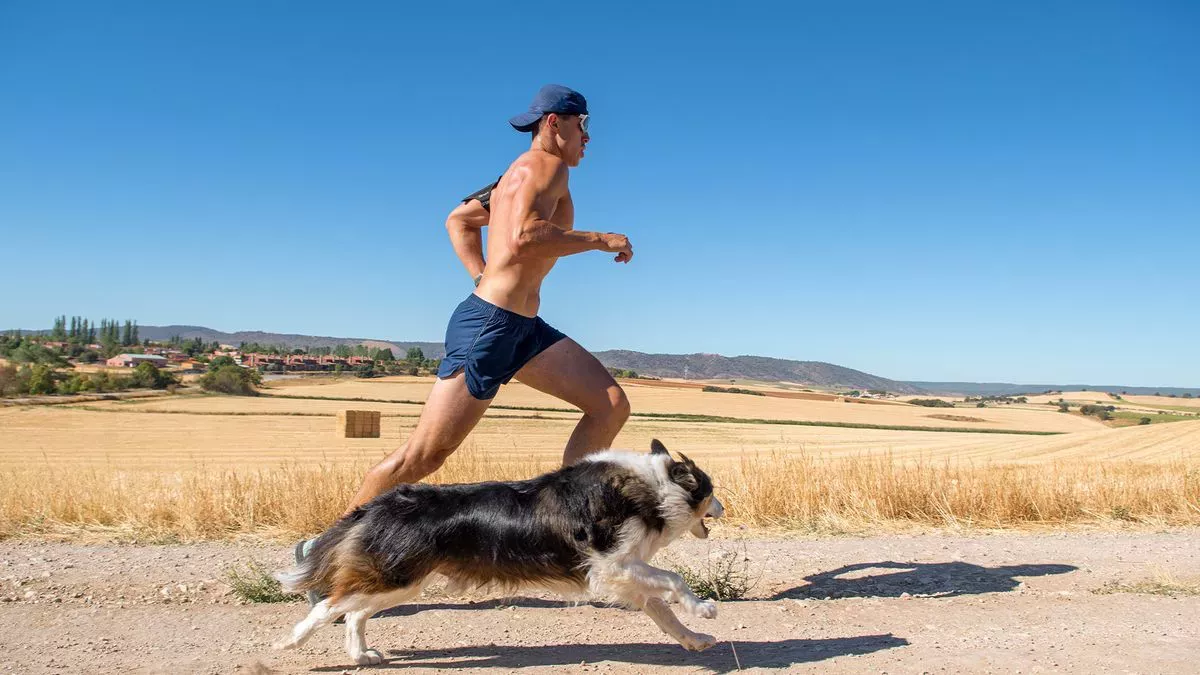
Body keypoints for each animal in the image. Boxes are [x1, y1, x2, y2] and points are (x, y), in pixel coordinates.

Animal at [272, 437, 720, 662]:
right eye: (710, 490)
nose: (724, 507)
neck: (655, 487)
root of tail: (379, 503)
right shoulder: (611, 566)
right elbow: (674, 580)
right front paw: (703, 608)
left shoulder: (625, 574)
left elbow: (663, 612)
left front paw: (695, 639)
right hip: (395, 575)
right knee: (330, 605)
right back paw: (289, 644)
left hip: (402, 580)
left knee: (355, 612)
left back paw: (361, 656)